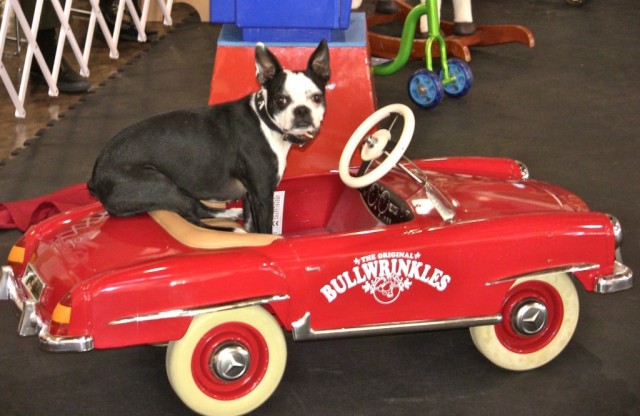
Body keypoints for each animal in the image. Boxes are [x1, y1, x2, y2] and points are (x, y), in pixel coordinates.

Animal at [87, 40, 330, 236]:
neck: (265, 120)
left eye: (317, 98)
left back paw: (231, 215)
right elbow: (264, 228)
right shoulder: (262, 193)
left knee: (198, 210)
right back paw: (232, 231)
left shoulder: (250, 193)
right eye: (281, 100)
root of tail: (95, 176)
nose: (301, 111)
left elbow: (250, 221)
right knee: (193, 216)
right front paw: (269, 241)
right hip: (159, 182)